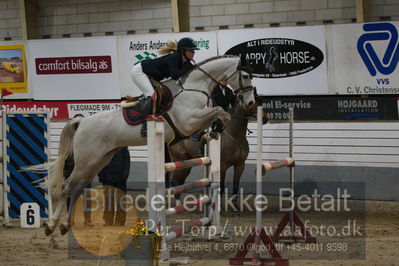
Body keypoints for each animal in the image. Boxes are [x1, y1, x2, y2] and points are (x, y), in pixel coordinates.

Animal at [30, 54, 256, 235]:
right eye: (246, 76)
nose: (251, 102)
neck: (194, 88)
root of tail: (82, 122)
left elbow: (220, 114)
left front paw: (216, 129)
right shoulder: (189, 121)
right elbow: (219, 110)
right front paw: (218, 126)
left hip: (98, 160)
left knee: (77, 189)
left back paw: (64, 226)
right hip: (86, 161)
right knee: (67, 187)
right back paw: (51, 226)